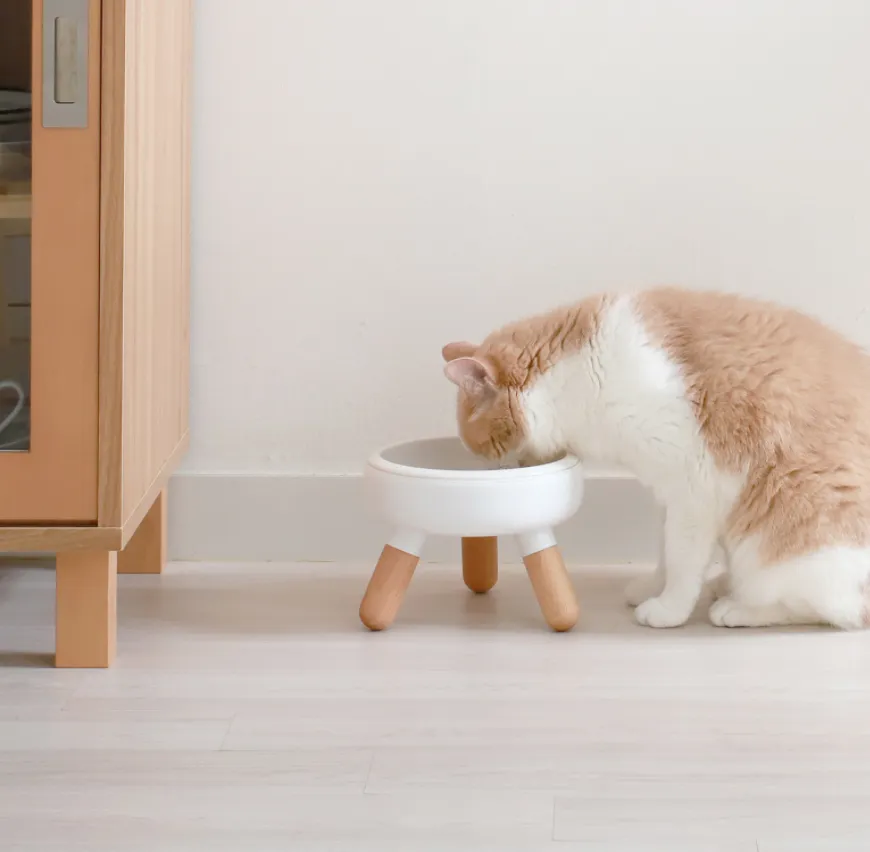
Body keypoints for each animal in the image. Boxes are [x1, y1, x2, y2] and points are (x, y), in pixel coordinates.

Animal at [442, 290, 870, 628]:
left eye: (484, 447)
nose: (491, 471)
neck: (579, 375)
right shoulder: (668, 492)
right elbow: (665, 550)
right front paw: (652, 587)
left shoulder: (693, 489)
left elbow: (681, 558)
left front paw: (669, 609)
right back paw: (722, 585)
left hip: (790, 541)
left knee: (831, 608)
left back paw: (737, 609)